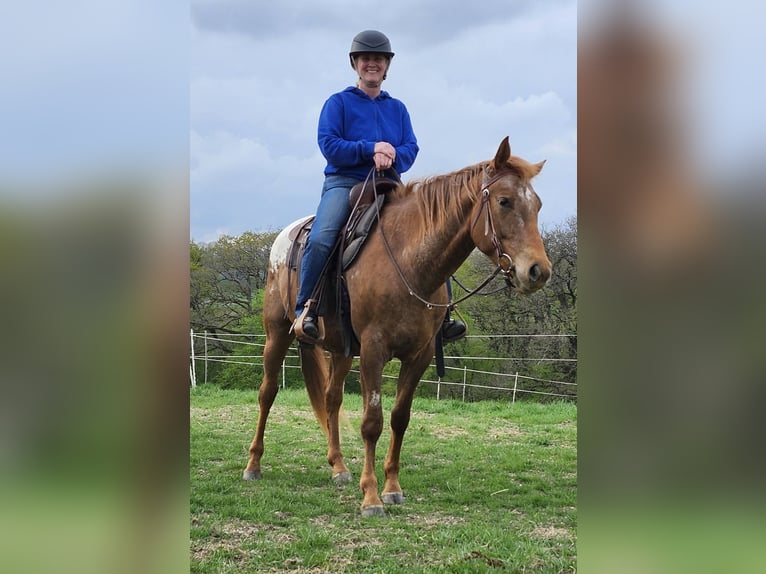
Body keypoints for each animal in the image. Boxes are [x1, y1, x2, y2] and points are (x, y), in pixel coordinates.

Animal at [243, 137, 552, 516]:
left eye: (537, 204)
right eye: (504, 201)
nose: (538, 271)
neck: (409, 262)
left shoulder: (419, 355)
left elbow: (399, 418)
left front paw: (392, 488)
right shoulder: (374, 351)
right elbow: (372, 421)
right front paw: (372, 497)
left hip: (340, 350)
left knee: (331, 399)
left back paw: (339, 467)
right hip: (277, 334)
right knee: (267, 392)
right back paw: (254, 464)